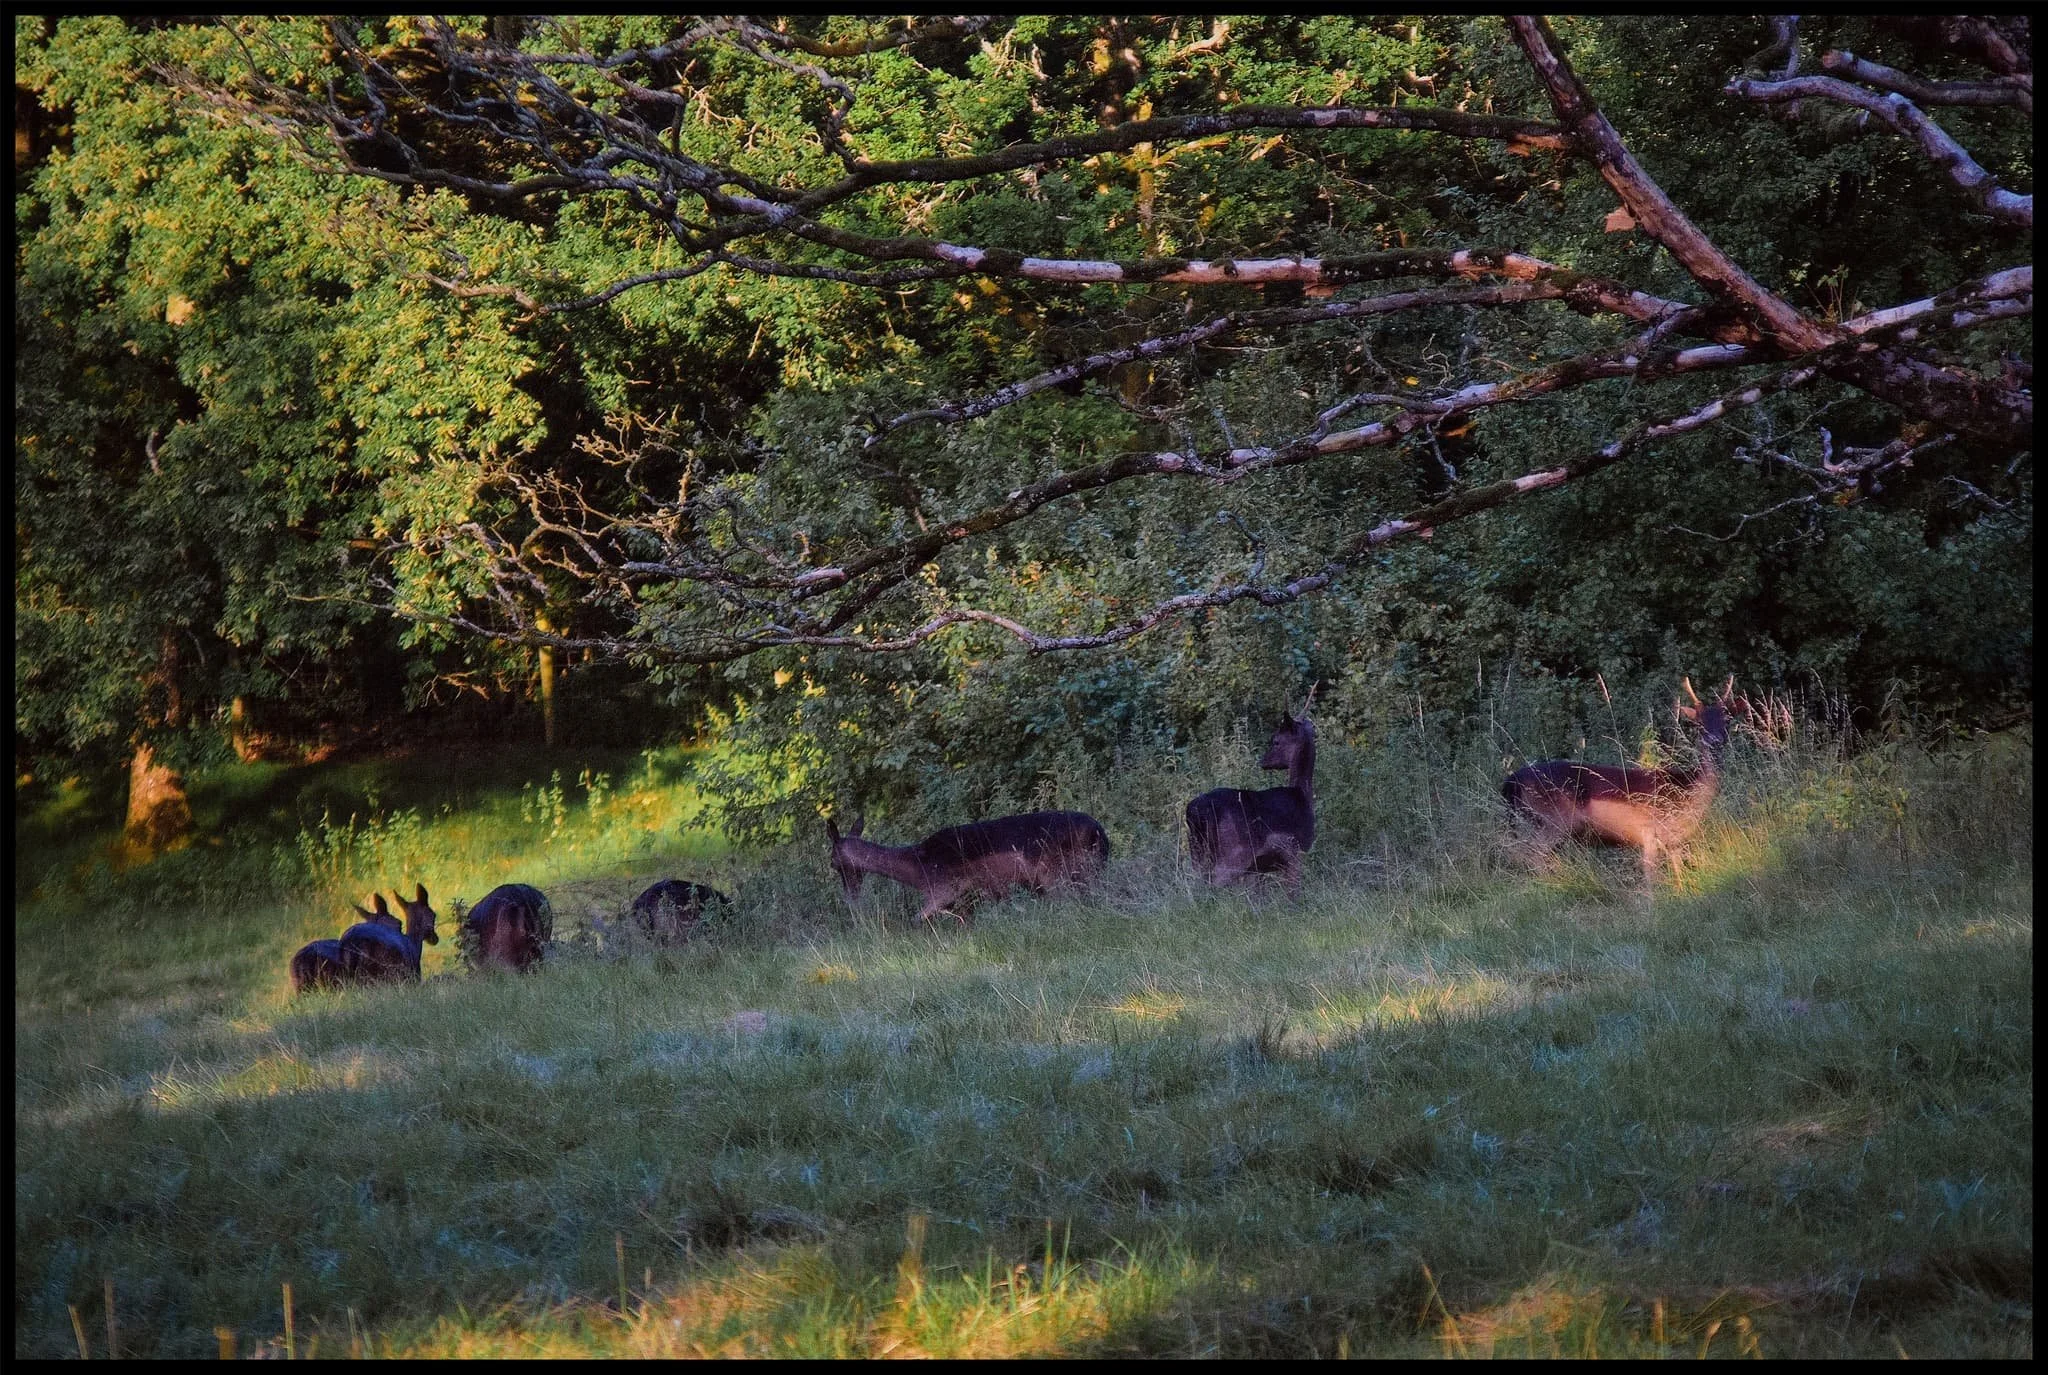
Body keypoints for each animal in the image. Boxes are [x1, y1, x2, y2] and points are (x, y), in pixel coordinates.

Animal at [825, 810, 1111, 925]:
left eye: (832, 863)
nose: (850, 896)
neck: (917, 869)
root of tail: (1099, 833)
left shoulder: (944, 889)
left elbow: (915, 920)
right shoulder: (968, 901)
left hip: (1057, 875)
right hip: (1086, 875)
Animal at [1185, 705, 1317, 896]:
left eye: (1275, 741)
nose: (1263, 761)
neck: (1302, 795)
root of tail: (1194, 811)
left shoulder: (1256, 870)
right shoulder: (1294, 852)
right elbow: (1292, 894)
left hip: (1197, 850)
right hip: (1234, 852)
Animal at [1501, 676, 1743, 888]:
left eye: (1727, 719)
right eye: (1698, 723)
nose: (1715, 741)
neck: (1688, 790)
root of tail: (1513, 779)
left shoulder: (1674, 839)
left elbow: (1678, 873)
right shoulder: (1650, 829)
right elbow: (1650, 875)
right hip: (1553, 818)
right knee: (1529, 853)